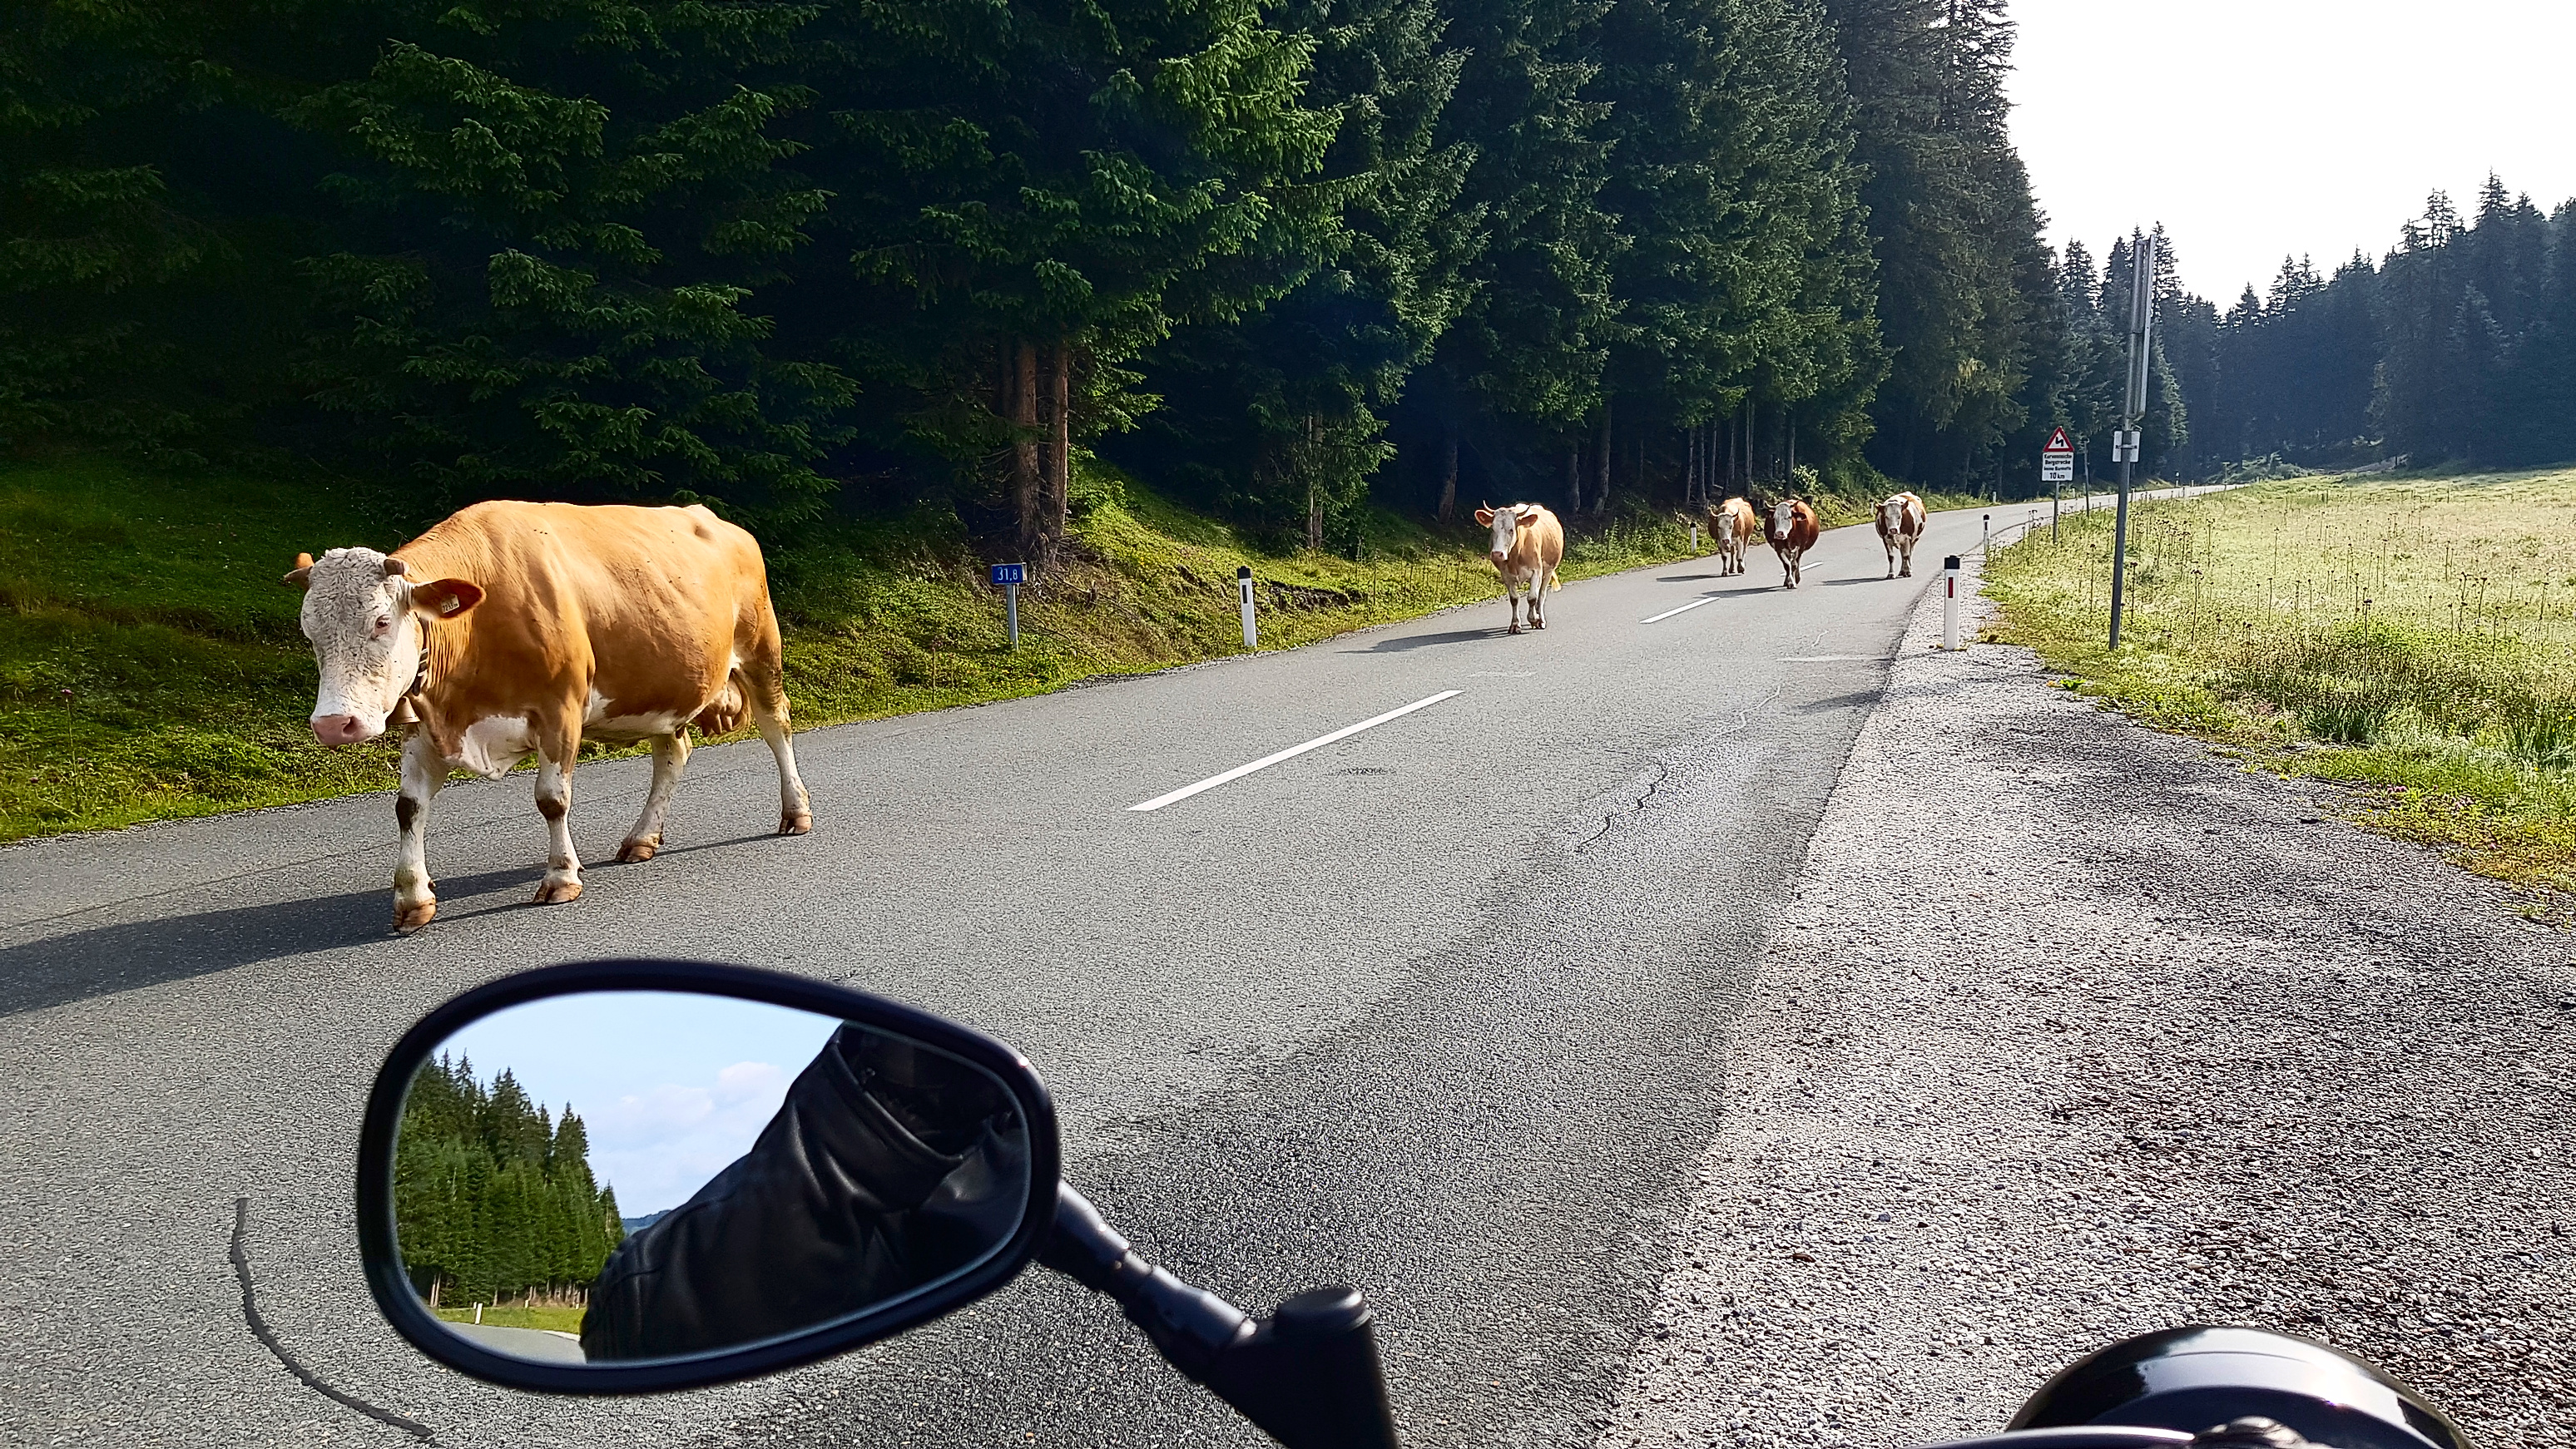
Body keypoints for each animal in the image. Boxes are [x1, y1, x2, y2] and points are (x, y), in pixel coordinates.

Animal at [287, 500, 812, 932]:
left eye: (381, 621)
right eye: (309, 632)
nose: (333, 724)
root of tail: (720, 521)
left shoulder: (560, 709)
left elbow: (552, 799)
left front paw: (562, 877)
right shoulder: (423, 722)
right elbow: (409, 807)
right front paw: (412, 899)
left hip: (761, 651)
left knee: (777, 728)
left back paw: (796, 811)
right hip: (665, 689)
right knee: (672, 754)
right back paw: (642, 838)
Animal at [1473, 502, 1565, 634]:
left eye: (1511, 529)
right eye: (1492, 529)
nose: (1497, 554)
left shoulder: (1537, 571)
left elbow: (1532, 597)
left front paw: (1534, 619)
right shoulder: (1506, 575)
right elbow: (1514, 599)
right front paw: (1515, 625)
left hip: (1548, 571)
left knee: (1541, 595)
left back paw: (1541, 620)